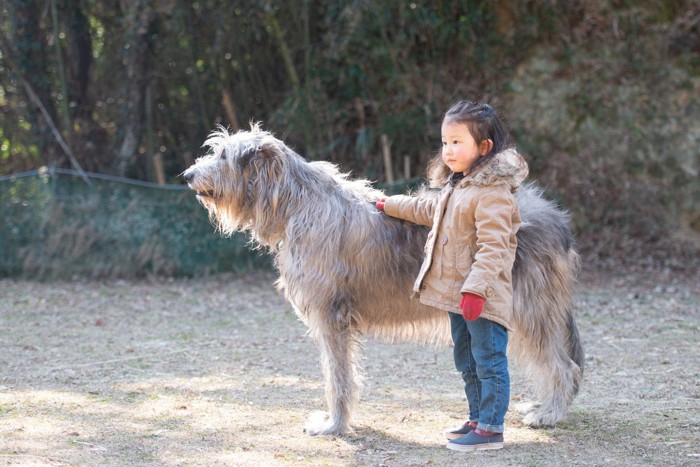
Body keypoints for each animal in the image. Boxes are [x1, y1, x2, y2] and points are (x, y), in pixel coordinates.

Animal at [183, 123, 584, 436]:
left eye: (224, 155)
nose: (186, 176)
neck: (298, 204)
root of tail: (558, 220)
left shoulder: (331, 316)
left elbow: (338, 376)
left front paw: (334, 425)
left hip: (529, 307)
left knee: (563, 365)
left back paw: (550, 413)